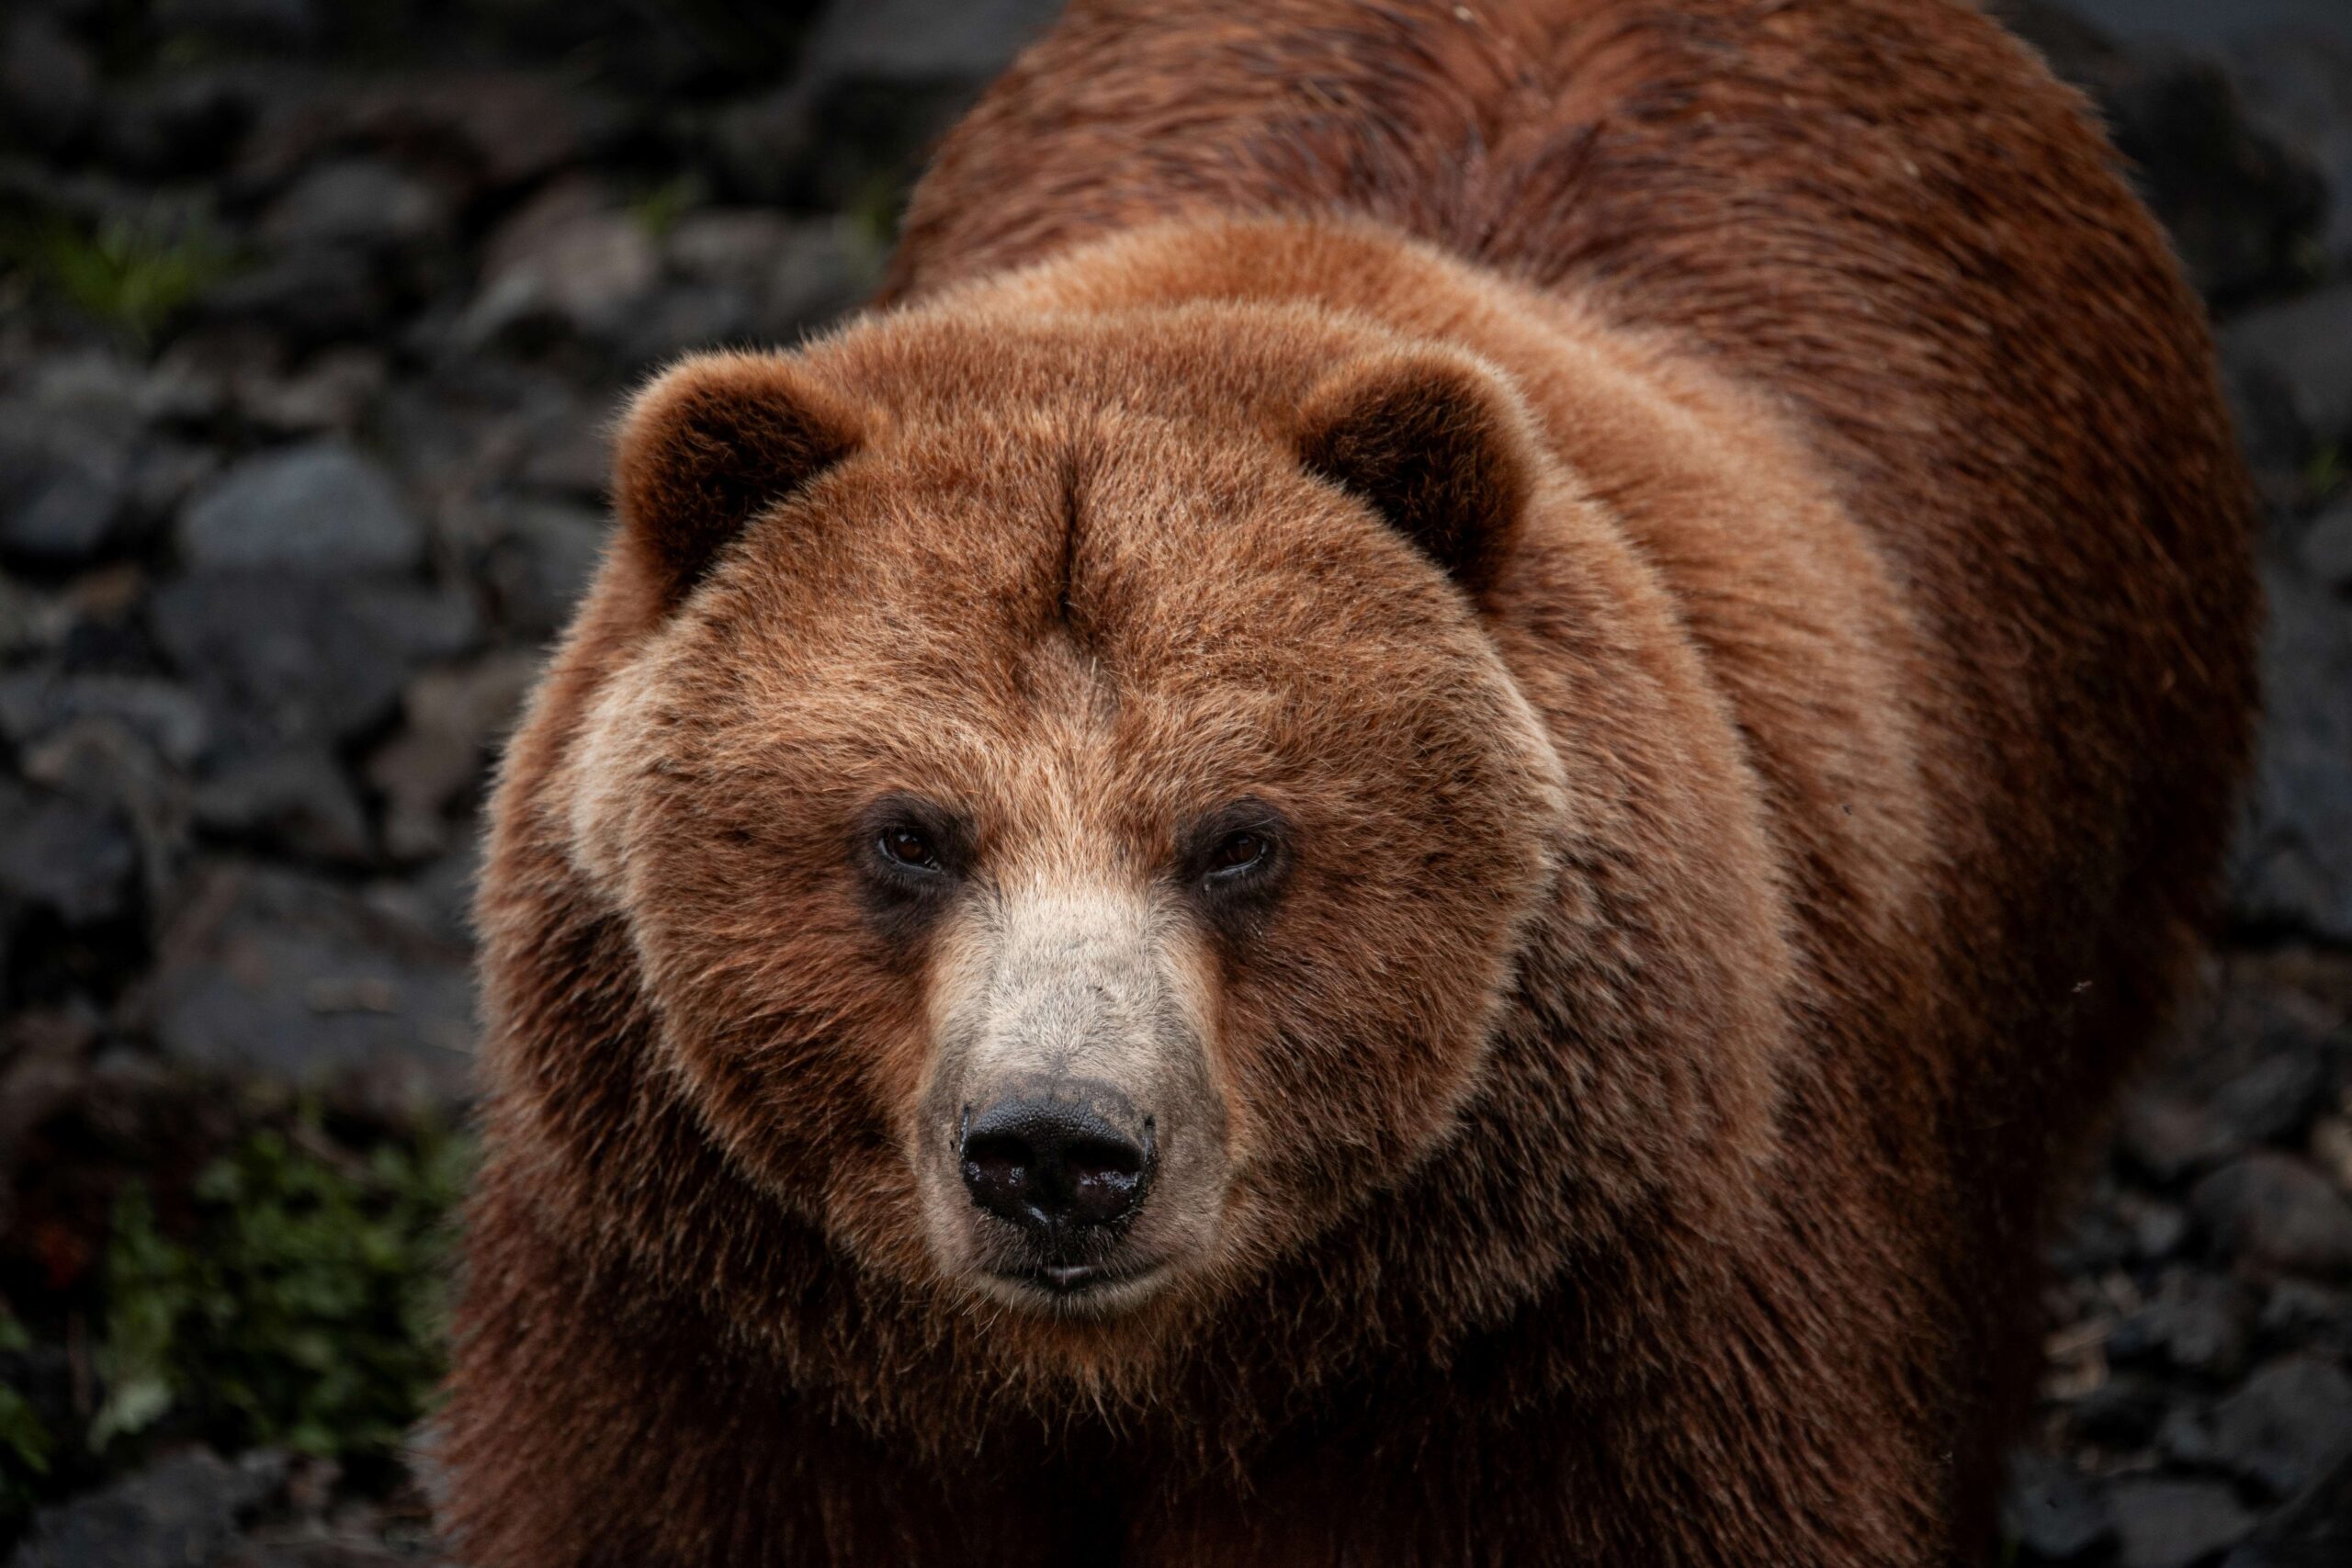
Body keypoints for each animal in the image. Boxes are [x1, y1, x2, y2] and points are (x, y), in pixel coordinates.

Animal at [438, 1, 2259, 1563]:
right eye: (909, 833)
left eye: (1239, 839)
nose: (1057, 1149)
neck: (1128, 1381)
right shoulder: (725, 1355)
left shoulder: (1571, 1353)